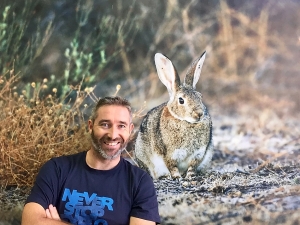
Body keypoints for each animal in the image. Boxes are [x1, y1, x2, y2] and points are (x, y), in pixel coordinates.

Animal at [134, 51, 213, 179]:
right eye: (181, 100)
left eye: (200, 97)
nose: (199, 114)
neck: (185, 121)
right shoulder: (169, 154)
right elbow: (172, 167)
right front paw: (177, 177)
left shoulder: (198, 154)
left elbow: (192, 166)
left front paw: (190, 176)